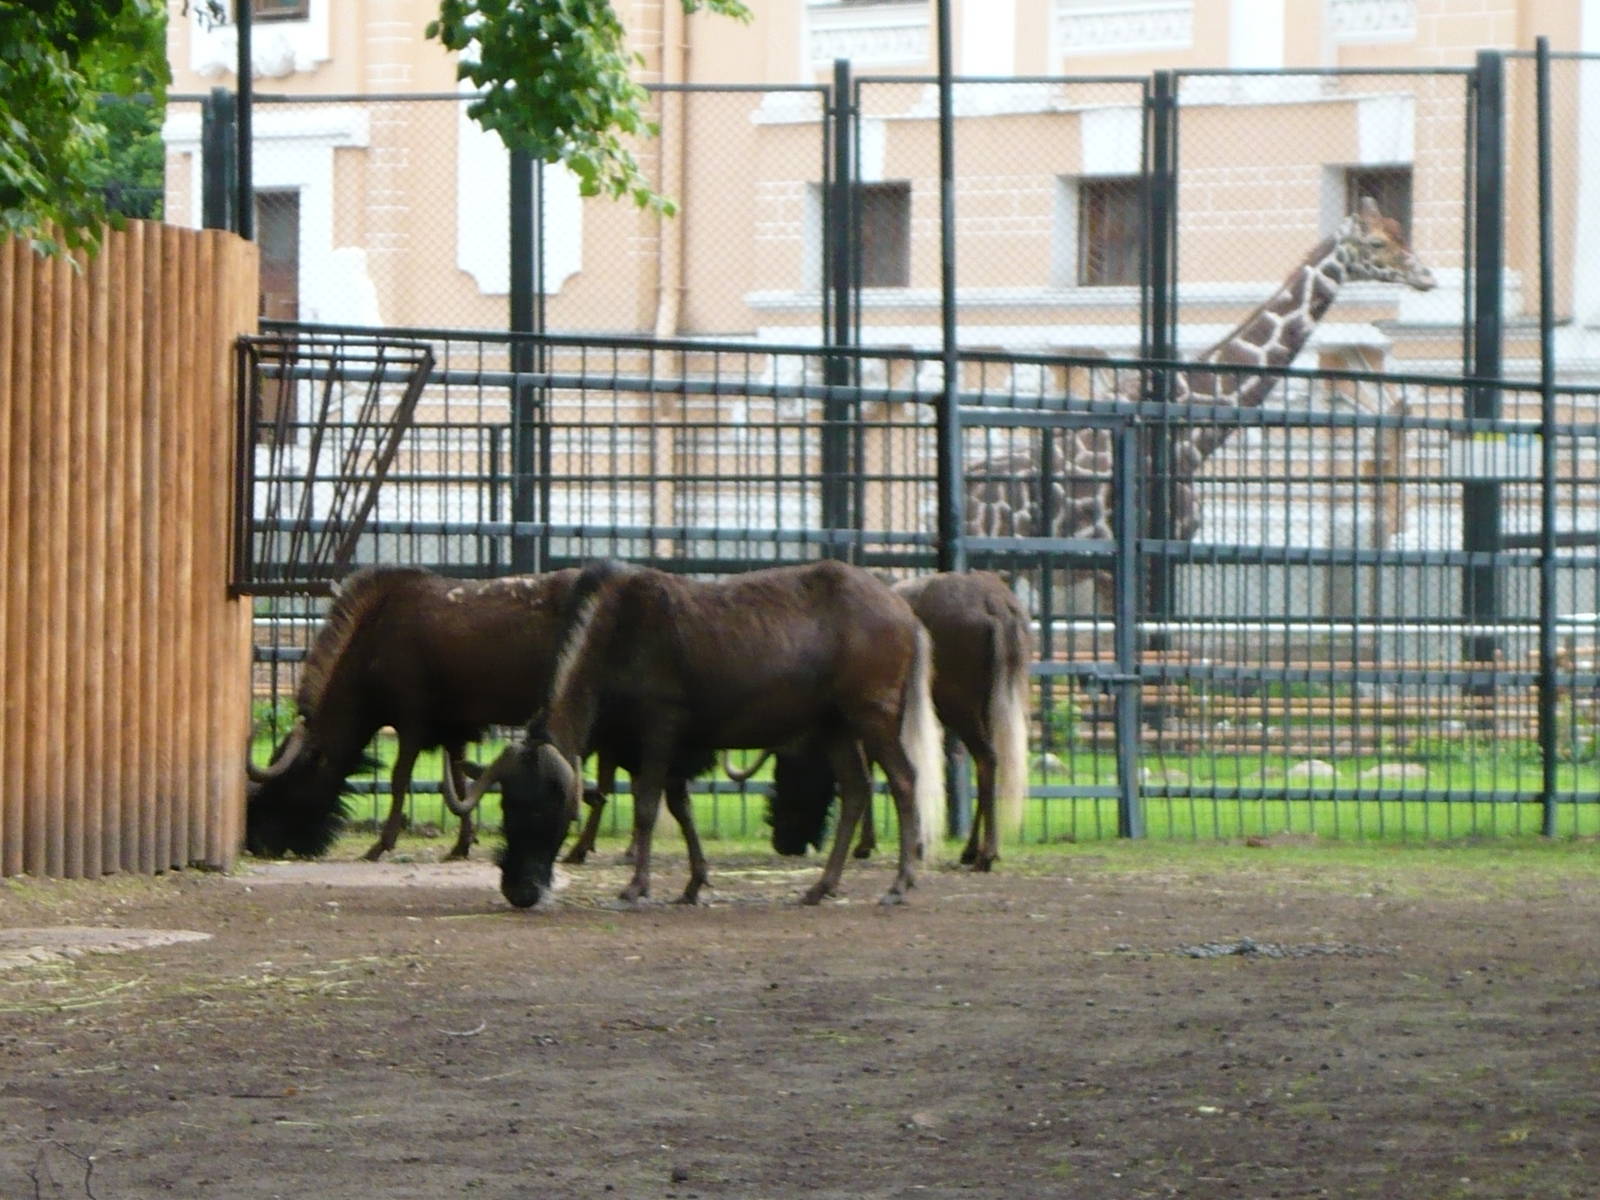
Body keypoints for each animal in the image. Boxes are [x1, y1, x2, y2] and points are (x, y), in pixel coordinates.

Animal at [964, 197, 1437, 612]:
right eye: (1376, 243)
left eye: (1401, 231)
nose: (1427, 277)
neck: (1191, 439)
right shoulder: (1134, 561)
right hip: (994, 563)